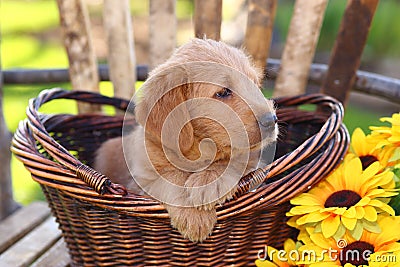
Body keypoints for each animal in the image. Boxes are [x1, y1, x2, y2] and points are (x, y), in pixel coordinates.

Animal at [94, 38, 278, 243]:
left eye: (254, 84)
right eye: (223, 92)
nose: (271, 121)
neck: (198, 150)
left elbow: (238, 158)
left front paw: (210, 180)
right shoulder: (142, 181)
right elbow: (170, 178)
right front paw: (194, 215)